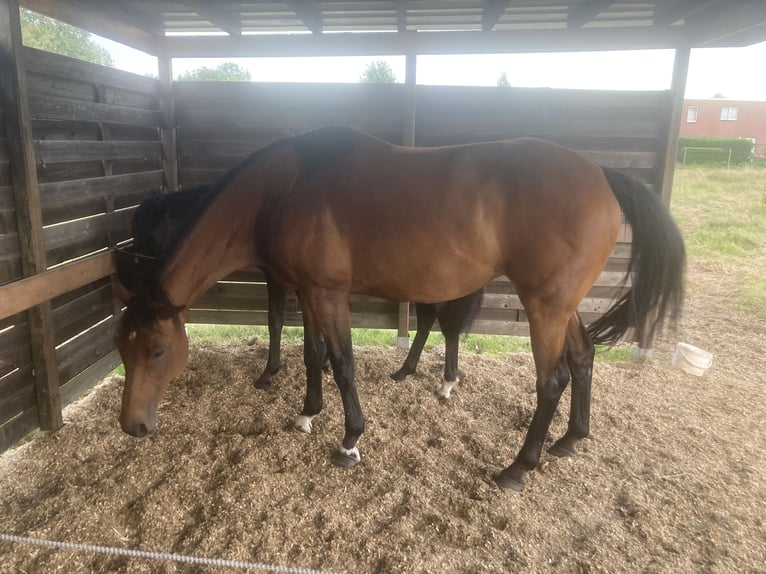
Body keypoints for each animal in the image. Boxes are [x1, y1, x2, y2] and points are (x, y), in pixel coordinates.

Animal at [122, 186, 484, 400]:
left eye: (145, 229)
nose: (130, 281)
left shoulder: (277, 278)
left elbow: (275, 320)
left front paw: (269, 373)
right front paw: (320, 363)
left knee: (444, 324)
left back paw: (443, 380)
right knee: (429, 320)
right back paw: (406, 370)